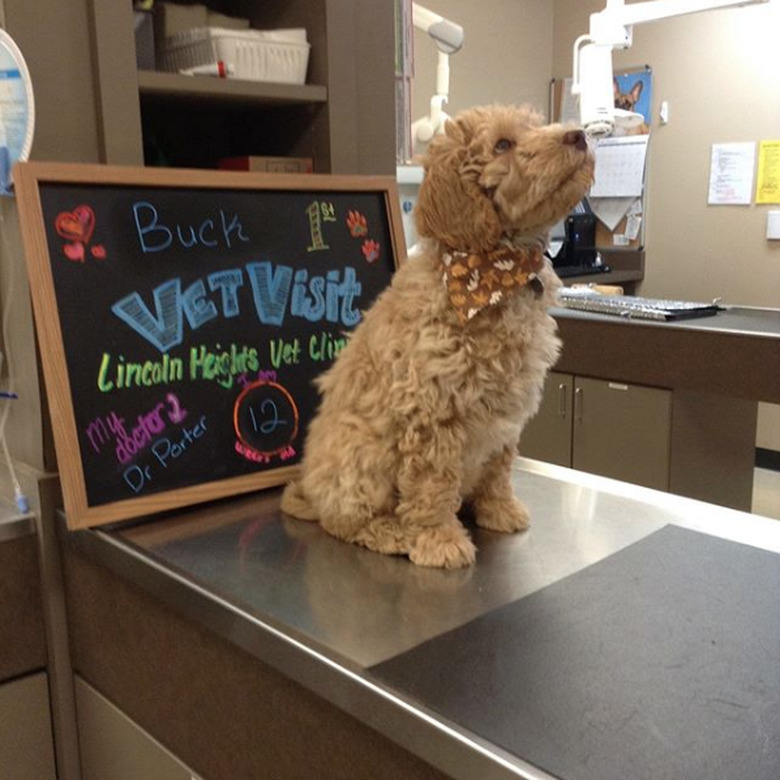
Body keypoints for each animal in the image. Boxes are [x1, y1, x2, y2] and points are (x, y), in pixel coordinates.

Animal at [284, 105, 596, 568]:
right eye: (502, 145)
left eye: (538, 125)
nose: (578, 135)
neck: (494, 271)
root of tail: (310, 492)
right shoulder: (431, 412)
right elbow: (432, 485)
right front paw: (439, 541)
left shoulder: (507, 414)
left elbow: (499, 468)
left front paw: (499, 510)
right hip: (359, 452)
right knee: (344, 520)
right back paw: (390, 532)